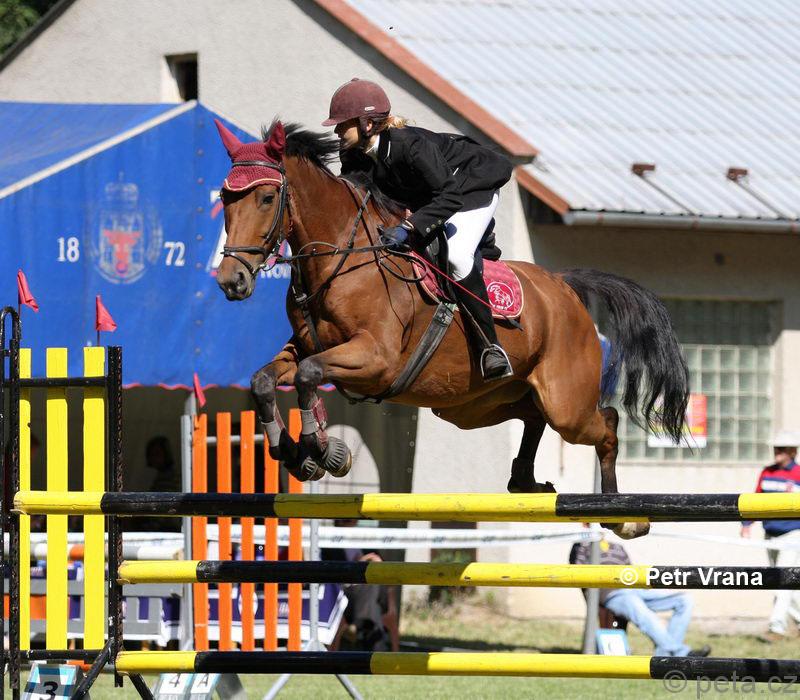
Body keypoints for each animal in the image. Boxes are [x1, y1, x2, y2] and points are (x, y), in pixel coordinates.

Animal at [213, 119, 689, 540]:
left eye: (267, 197)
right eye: (224, 198)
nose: (230, 281)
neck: (340, 260)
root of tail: (564, 286)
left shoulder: (375, 360)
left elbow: (310, 374)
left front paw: (325, 451)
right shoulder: (302, 346)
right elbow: (265, 379)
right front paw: (293, 452)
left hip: (565, 404)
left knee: (606, 423)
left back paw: (622, 518)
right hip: (479, 405)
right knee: (533, 416)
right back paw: (527, 482)